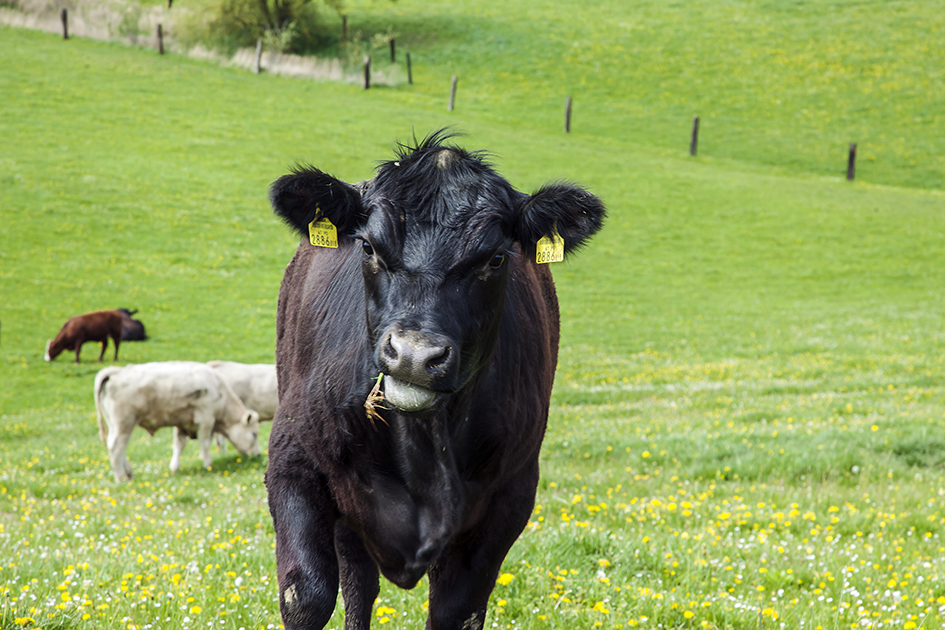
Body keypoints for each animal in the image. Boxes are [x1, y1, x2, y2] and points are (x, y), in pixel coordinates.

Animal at [93, 360, 262, 484]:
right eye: (254, 434)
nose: (258, 455)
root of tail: (115, 372)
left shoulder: (182, 423)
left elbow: (179, 444)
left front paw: (175, 468)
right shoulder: (206, 418)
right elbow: (204, 443)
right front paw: (208, 464)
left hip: (116, 424)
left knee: (119, 448)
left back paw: (129, 473)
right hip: (124, 423)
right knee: (116, 447)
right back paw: (121, 478)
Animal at [266, 131, 604, 628]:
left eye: (495, 258)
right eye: (368, 247)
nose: (413, 355)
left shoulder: (508, 499)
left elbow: (456, 611)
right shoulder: (292, 460)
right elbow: (306, 595)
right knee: (357, 581)